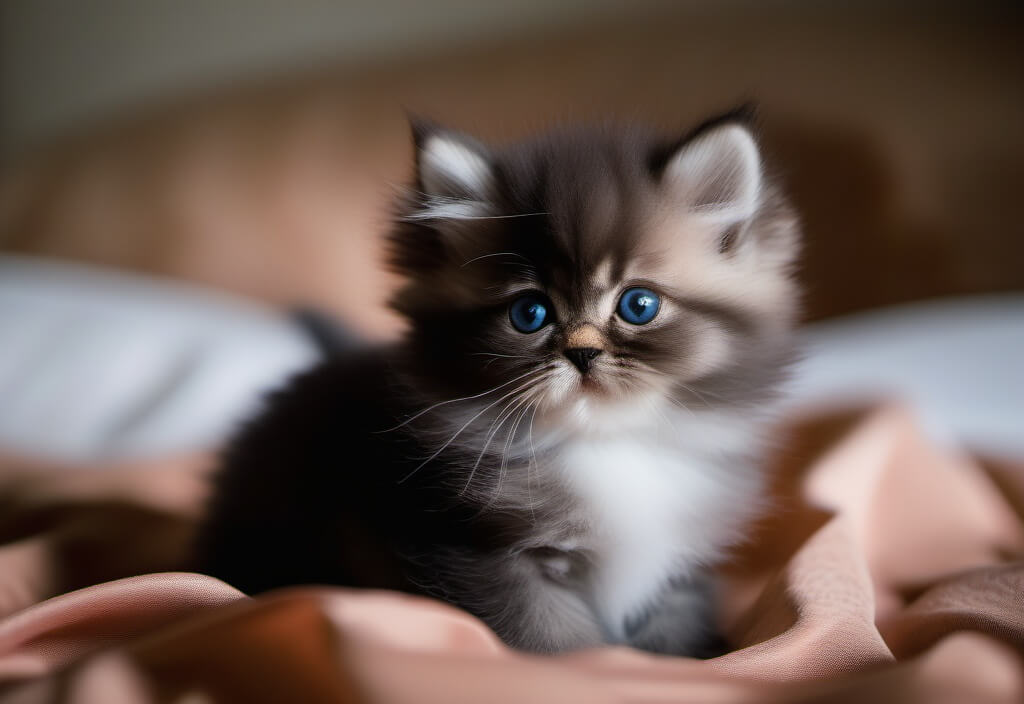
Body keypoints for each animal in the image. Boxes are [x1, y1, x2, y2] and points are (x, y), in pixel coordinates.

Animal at [193, 110, 798, 654]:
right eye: (529, 313)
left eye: (638, 305)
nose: (582, 352)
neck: (605, 444)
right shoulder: (473, 555)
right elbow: (555, 644)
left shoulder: (679, 569)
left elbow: (674, 636)